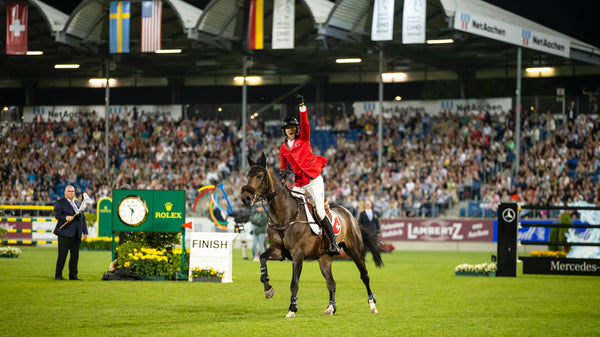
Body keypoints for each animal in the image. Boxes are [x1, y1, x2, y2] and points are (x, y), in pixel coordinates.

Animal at [240, 154, 384, 316]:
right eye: (247, 175)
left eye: (259, 175)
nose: (245, 198)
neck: (286, 216)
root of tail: (350, 214)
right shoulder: (278, 250)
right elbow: (262, 260)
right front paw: (268, 289)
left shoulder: (298, 254)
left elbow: (294, 283)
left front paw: (292, 308)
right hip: (324, 258)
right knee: (331, 283)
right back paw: (330, 308)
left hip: (355, 250)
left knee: (364, 276)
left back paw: (372, 305)